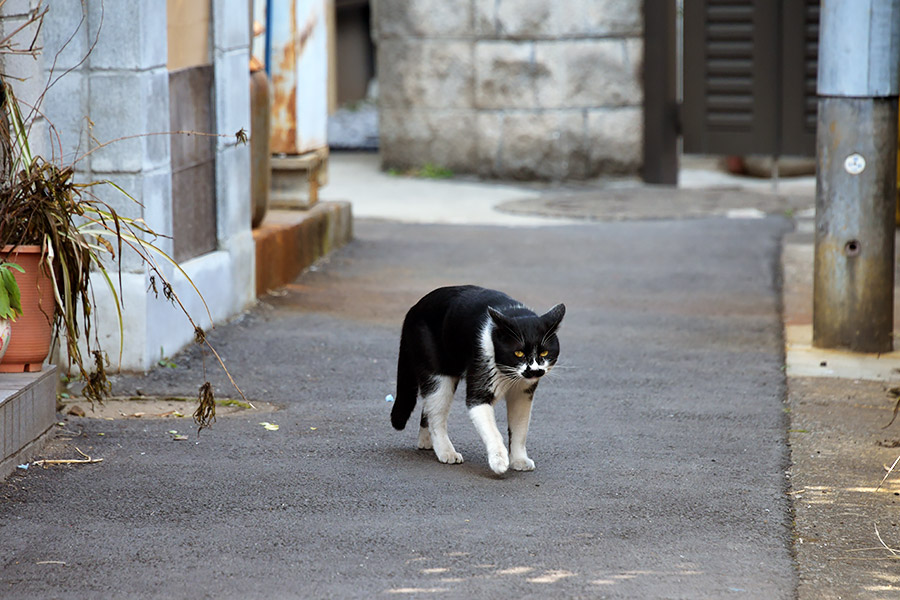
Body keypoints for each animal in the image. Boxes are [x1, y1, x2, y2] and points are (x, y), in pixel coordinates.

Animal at [392, 284, 568, 476]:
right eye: (519, 353)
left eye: (544, 352)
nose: (535, 370)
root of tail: (413, 309)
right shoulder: (479, 392)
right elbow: (492, 430)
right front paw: (499, 461)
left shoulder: (522, 394)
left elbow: (520, 429)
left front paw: (519, 460)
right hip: (438, 375)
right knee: (436, 414)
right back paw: (446, 451)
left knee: (429, 408)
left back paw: (426, 441)